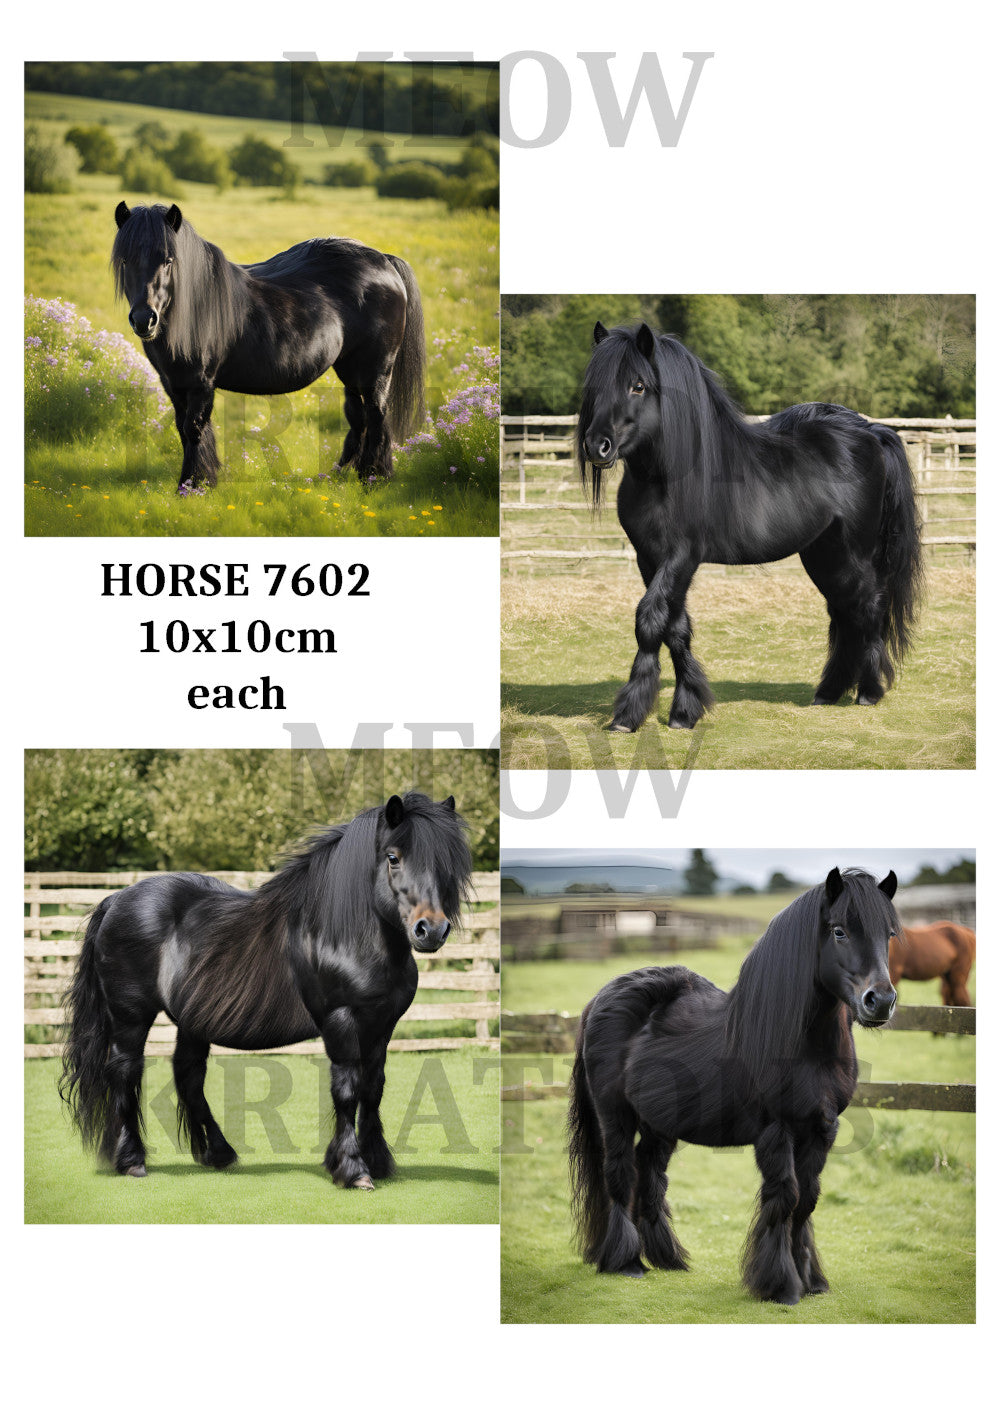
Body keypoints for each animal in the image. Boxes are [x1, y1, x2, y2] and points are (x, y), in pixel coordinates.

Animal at [60, 793, 471, 1189]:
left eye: (447, 861)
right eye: (393, 857)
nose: (431, 930)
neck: (344, 934)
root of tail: (116, 900)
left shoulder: (382, 1026)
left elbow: (373, 1089)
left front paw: (378, 1162)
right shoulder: (341, 1021)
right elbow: (347, 1090)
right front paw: (354, 1170)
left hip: (193, 1021)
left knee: (189, 1076)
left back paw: (219, 1154)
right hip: (130, 1018)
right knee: (126, 1074)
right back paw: (132, 1161)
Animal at [111, 202, 425, 490]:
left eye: (168, 260)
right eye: (125, 261)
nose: (144, 319)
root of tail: (383, 261)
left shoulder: (202, 382)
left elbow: (194, 428)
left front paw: (192, 485)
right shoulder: (173, 383)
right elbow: (183, 428)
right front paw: (201, 480)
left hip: (376, 370)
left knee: (376, 414)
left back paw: (374, 478)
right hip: (349, 369)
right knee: (358, 417)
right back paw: (339, 475)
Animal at [568, 867, 899, 1304]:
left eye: (889, 934)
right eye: (840, 931)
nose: (880, 1001)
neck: (806, 1046)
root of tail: (600, 999)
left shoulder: (822, 1129)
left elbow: (807, 1201)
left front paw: (811, 1281)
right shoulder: (776, 1130)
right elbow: (786, 1197)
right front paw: (781, 1285)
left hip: (660, 1126)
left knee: (650, 1177)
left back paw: (666, 1258)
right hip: (615, 1116)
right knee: (621, 1176)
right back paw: (626, 1262)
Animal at [577, 323, 923, 731]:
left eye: (639, 385)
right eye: (594, 386)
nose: (596, 447)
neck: (666, 477)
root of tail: (871, 431)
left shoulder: (681, 557)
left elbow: (650, 620)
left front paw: (630, 713)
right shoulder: (650, 558)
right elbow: (675, 628)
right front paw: (685, 710)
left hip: (854, 553)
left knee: (868, 606)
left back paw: (868, 692)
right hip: (824, 555)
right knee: (844, 611)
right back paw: (828, 692)